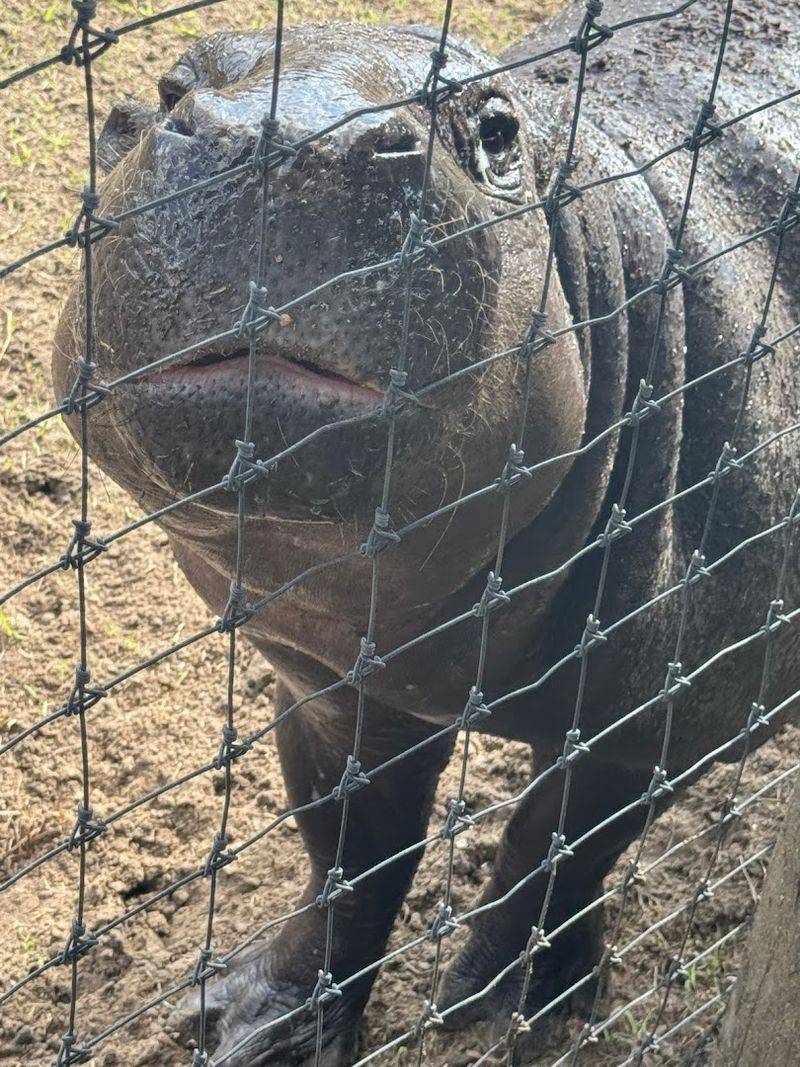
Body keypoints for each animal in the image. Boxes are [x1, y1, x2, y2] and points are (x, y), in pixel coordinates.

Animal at [52, 0, 800, 1062]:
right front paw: (251, 1019)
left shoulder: (664, 715)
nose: (287, 138)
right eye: (165, 89)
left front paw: (509, 1003)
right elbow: (348, 847)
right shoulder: (326, 680)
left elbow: (558, 842)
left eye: (495, 132)